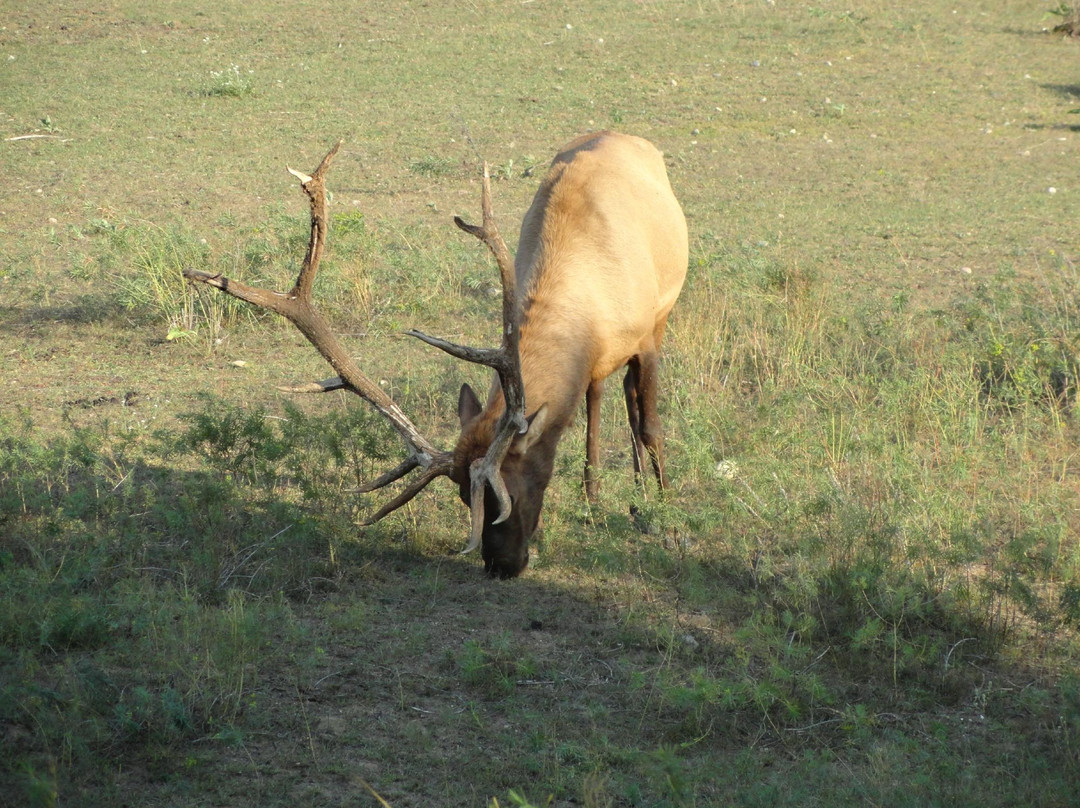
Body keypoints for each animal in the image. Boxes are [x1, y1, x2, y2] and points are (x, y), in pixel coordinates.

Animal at [185, 131, 686, 578]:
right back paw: (597, 493)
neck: (588, 301)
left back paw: (639, 493)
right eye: (464, 499)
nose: (501, 567)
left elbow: (651, 425)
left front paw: (666, 514)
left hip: (664, 310)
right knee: (598, 394)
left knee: (628, 400)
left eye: (505, 500)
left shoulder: (647, 336)